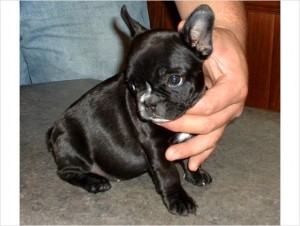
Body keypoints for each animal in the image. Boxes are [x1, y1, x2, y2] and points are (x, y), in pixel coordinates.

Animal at [47, 4, 214, 215]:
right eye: (133, 86)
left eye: (175, 80)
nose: (147, 103)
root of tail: (54, 130)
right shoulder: (154, 144)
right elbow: (168, 173)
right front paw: (179, 199)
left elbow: (190, 156)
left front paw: (195, 174)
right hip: (72, 142)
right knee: (66, 172)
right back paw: (94, 182)